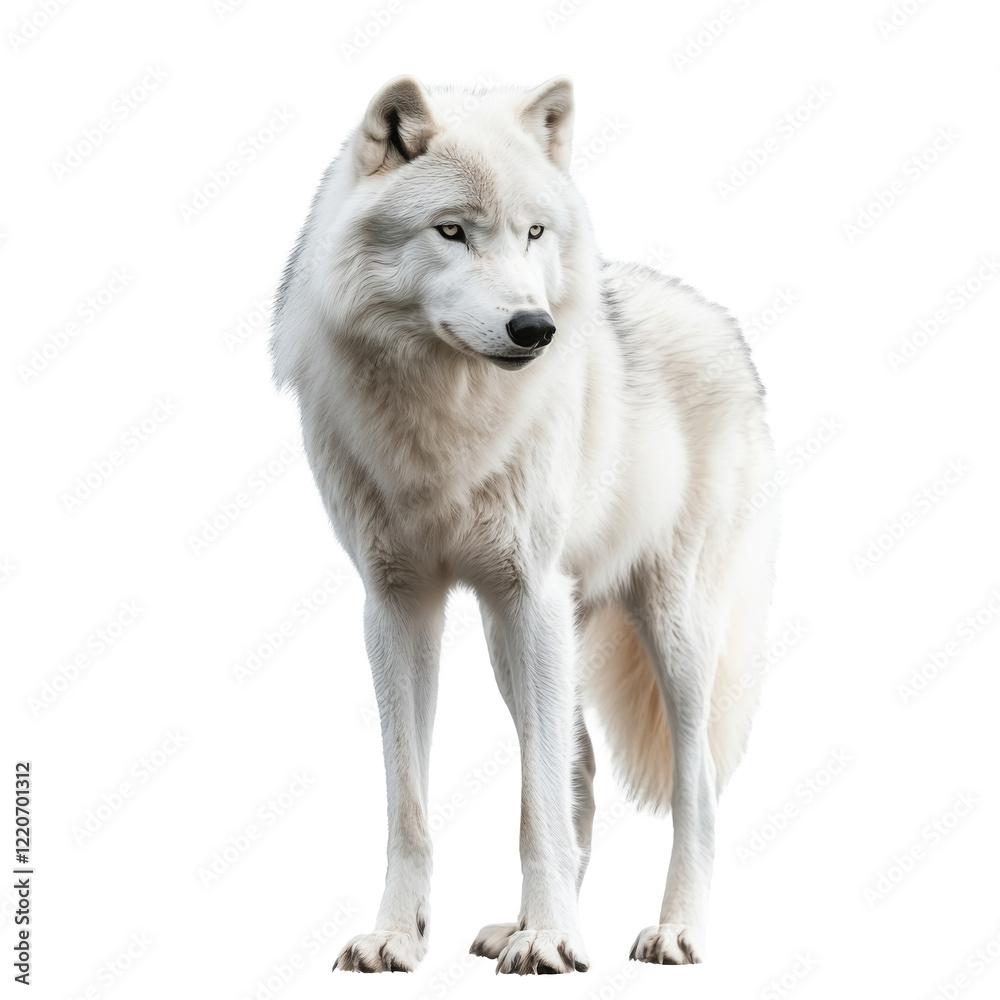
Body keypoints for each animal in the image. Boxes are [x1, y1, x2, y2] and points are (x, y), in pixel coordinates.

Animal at [270, 75, 778, 975]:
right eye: (451, 230)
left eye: (534, 232)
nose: (535, 329)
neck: (443, 416)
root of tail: (715, 316)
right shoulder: (397, 605)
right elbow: (412, 803)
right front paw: (400, 937)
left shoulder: (528, 591)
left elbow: (535, 804)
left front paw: (550, 940)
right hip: (525, 643)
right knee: (580, 775)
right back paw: (527, 925)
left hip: (672, 632)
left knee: (696, 788)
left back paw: (671, 931)